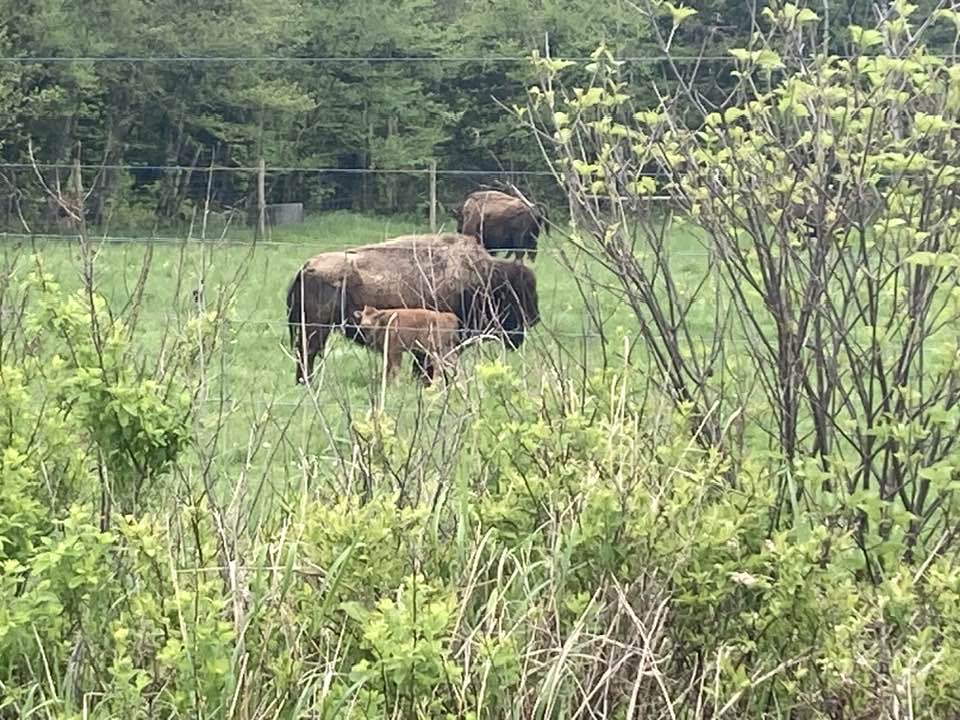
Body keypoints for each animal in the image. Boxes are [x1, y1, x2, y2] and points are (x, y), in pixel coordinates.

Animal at [286, 233, 539, 385]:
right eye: (515, 295)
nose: (533, 318)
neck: (481, 280)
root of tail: (305, 267)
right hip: (316, 328)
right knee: (307, 352)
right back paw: (306, 383)